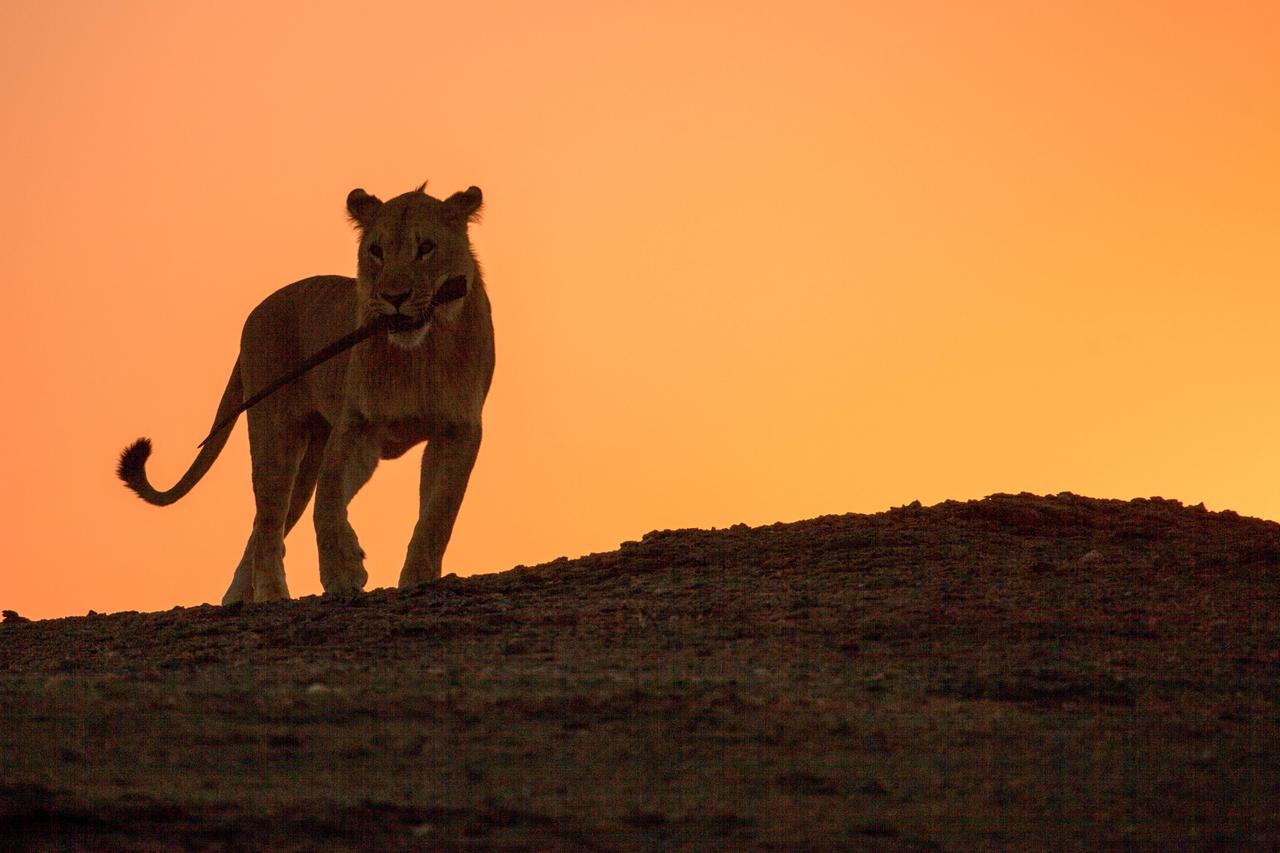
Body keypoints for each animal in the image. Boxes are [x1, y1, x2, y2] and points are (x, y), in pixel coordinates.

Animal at [117, 183, 494, 604]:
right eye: (376, 251)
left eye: (426, 247)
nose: (394, 296)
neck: (418, 352)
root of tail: (257, 312)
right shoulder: (355, 426)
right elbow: (327, 500)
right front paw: (343, 569)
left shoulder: (459, 429)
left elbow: (439, 511)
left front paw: (418, 575)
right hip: (275, 438)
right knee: (269, 522)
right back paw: (271, 594)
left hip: (306, 457)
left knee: (265, 527)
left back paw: (238, 598)